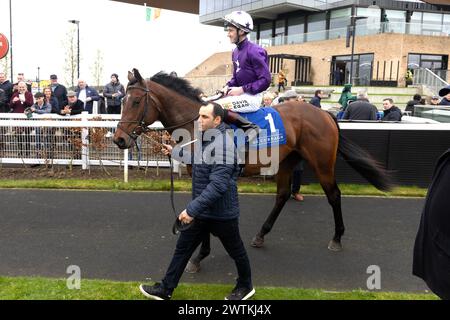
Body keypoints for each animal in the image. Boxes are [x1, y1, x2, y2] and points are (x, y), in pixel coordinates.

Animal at [114, 69, 392, 268]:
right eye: (122, 100)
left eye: (136, 101)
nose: (119, 139)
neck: (197, 123)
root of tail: (324, 114)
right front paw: (201, 253)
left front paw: (198, 255)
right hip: (287, 161)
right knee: (282, 195)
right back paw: (261, 234)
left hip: (322, 163)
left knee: (334, 195)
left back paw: (336, 238)